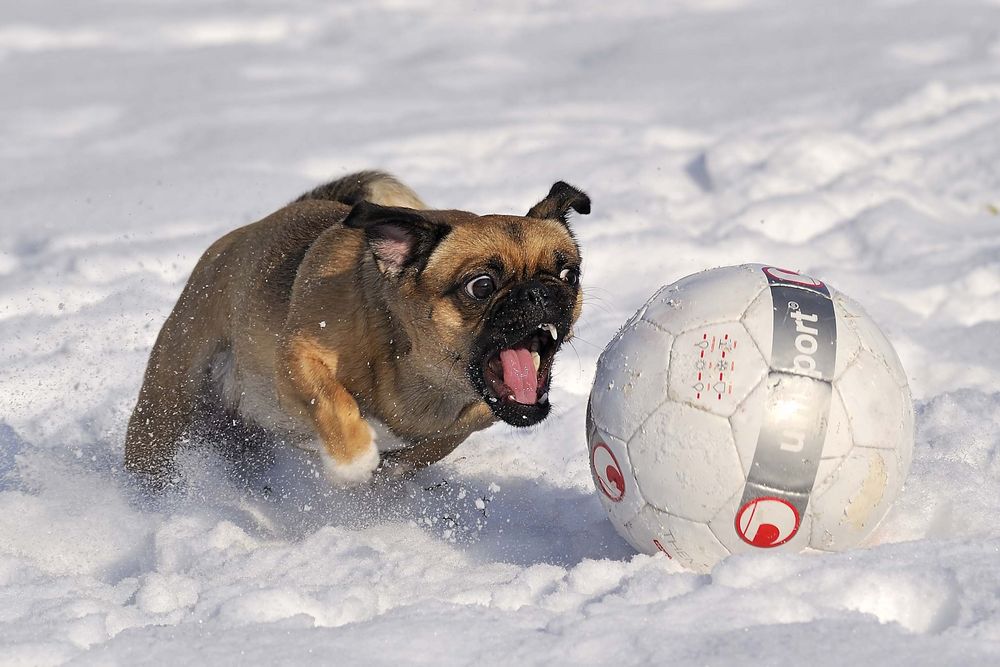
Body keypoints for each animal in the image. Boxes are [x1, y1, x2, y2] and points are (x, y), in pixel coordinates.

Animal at [128, 172, 588, 486]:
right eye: (482, 286)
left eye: (569, 274)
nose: (539, 293)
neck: (422, 379)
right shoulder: (298, 357)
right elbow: (334, 401)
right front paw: (355, 460)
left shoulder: (468, 422)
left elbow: (424, 450)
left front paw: (385, 474)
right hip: (167, 398)